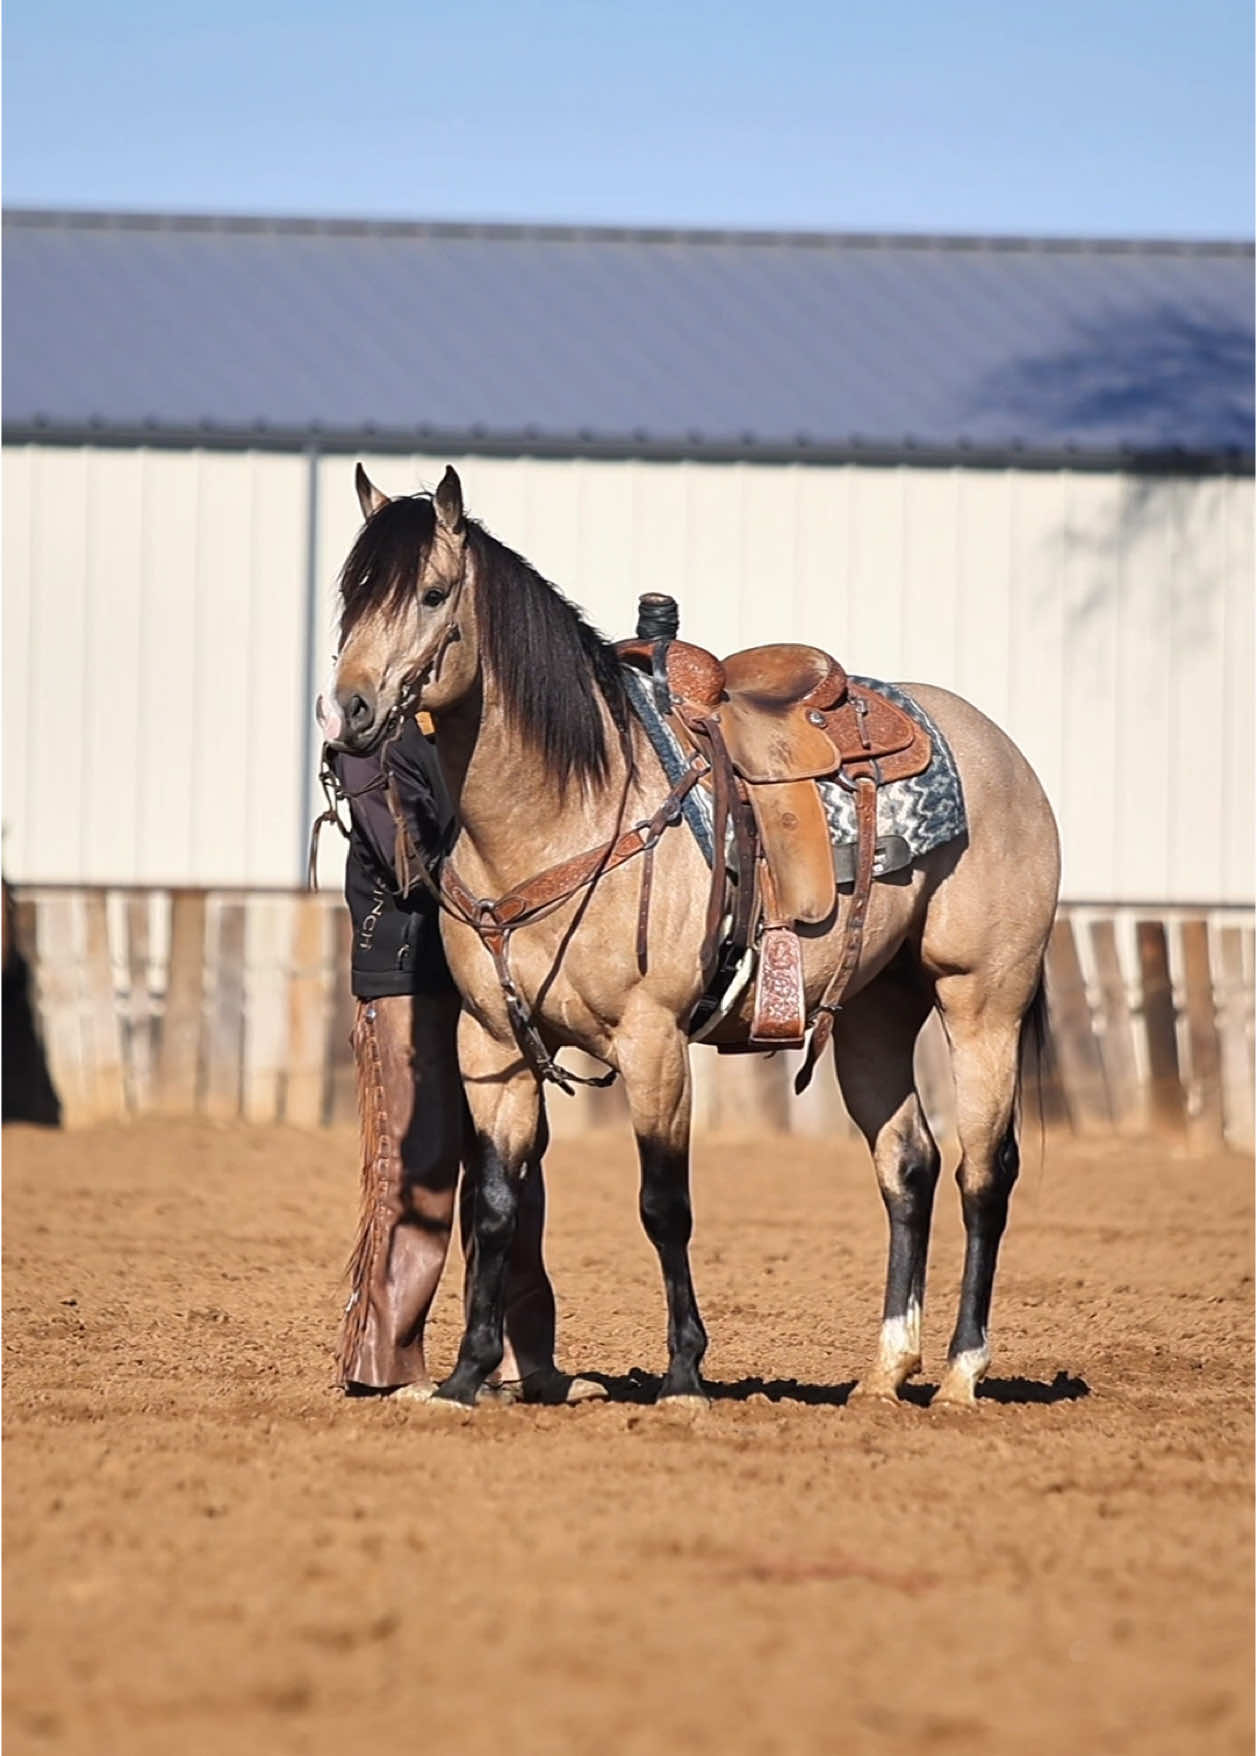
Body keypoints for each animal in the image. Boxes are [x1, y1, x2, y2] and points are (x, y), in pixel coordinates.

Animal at [316, 470, 1060, 1411]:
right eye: (351, 594)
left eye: (433, 592)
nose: (349, 709)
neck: (569, 811)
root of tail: (1003, 754)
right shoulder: (492, 1046)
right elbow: (492, 1203)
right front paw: (463, 1379)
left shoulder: (654, 1040)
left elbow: (663, 1205)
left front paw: (681, 1376)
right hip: (873, 1013)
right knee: (908, 1166)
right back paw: (886, 1372)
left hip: (981, 1003)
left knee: (983, 1172)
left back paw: (962, 1373)